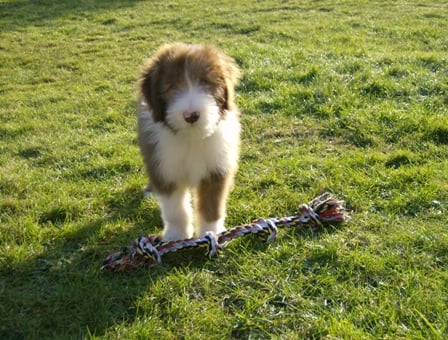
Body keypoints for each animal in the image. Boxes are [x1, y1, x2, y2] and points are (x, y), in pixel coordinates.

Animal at [136, 43, 242, 242]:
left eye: (205, 82)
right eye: (171, 86)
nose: (191, 115)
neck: (192, 137)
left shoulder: (216, 169)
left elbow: (211, 206)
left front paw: (211, 233)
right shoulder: (165, 168)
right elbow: (175, 210)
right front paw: (176, 236)